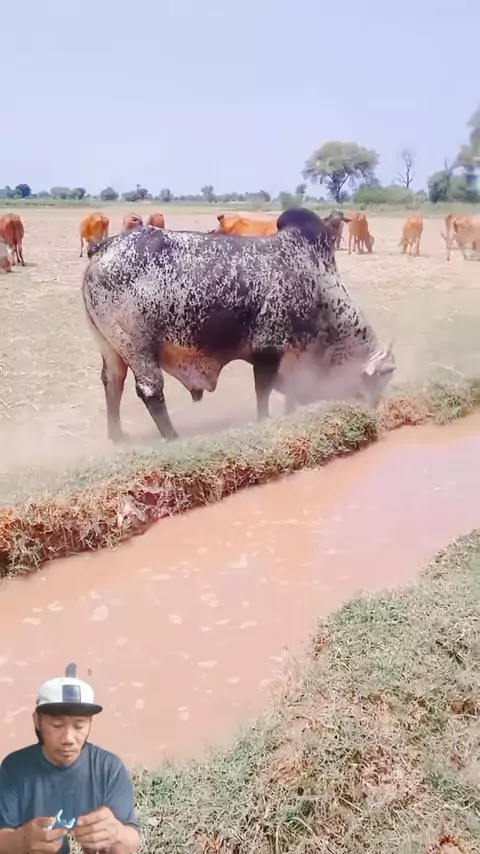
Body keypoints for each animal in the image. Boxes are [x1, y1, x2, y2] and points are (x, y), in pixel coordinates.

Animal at [82, 207, 395, 443]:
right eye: (380, 379)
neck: (321, 290)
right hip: (138, 348)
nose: (374, 409)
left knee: (113, 382)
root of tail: (103, 247)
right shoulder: (268, 348)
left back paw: (117, 436)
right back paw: (172, 437)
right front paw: (264, 421)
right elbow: (263, 391)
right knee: (150, 390)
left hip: (111, 348)